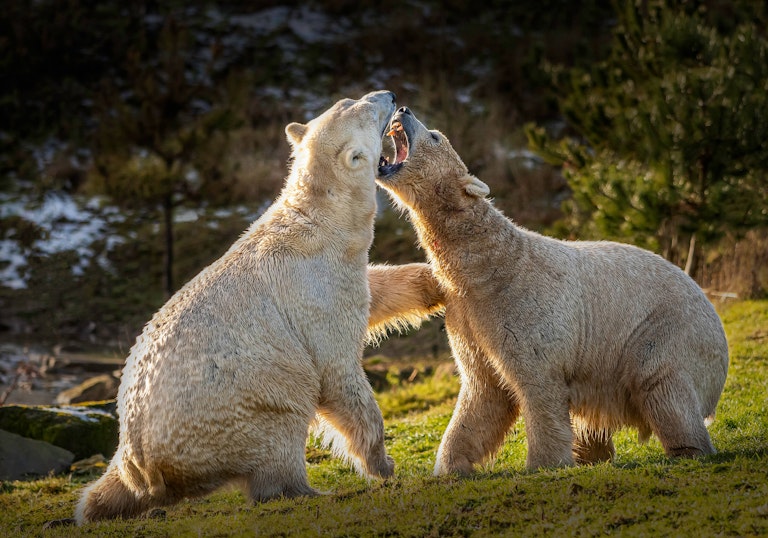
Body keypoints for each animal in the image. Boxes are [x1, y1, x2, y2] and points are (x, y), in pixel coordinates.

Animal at [76, 90, 402, 520]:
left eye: (352, 98)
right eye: (367, 109)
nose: (390, 96)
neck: (321, 218)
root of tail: (144, 466)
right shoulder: (316, 290)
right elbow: (338, 373)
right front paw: (383, 465)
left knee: (106, 488)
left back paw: (96, 506)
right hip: (248, 404)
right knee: (282, 428)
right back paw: (307, 491)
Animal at [378, 105, 732, 474]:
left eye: (434, 136)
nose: (403, 108)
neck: (490, 266)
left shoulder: (522, 308)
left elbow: (538, 386)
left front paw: (543, 463)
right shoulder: (469, 316)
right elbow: (482, 391)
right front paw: (452, 465)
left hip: (669, 334)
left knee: (664, 385)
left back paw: (686, 448)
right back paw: (593, 453)